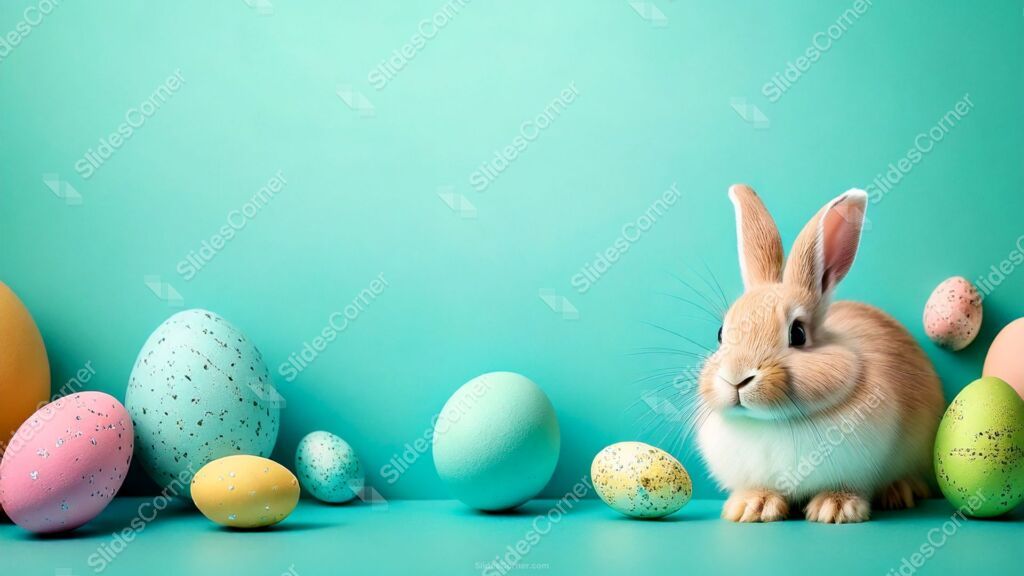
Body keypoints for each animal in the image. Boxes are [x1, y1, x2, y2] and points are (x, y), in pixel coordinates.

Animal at [695, 185, 944, 524]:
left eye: (798, 333)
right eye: (721, 333)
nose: (736, 378)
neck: (774, 421)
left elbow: (847, 487)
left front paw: (835, 508)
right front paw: (752, 507)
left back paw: (898, 491)